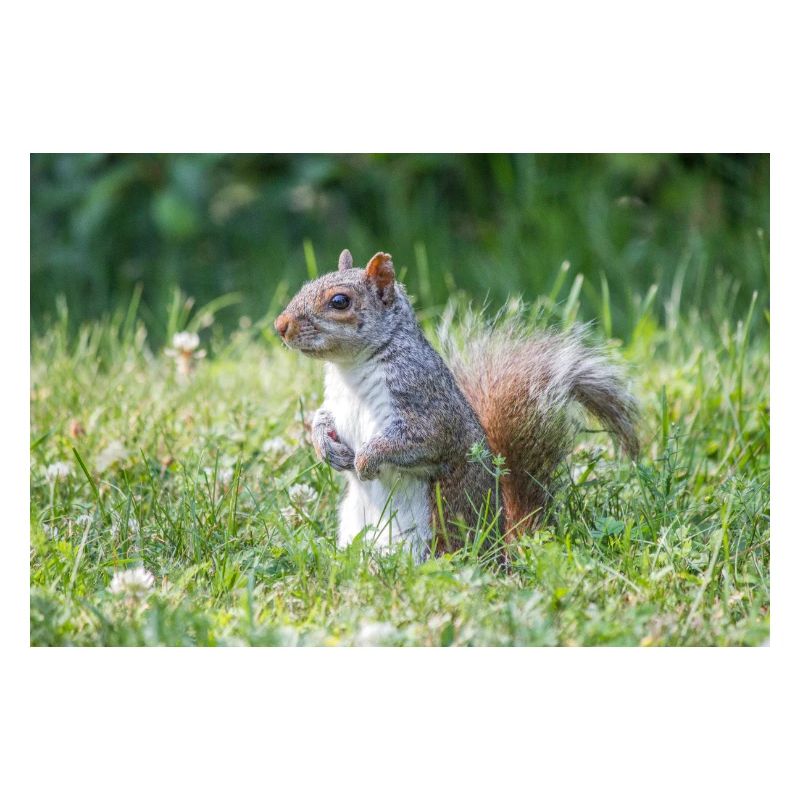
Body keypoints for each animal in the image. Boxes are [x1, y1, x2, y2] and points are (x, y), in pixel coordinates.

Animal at [275, 249, 639, 562]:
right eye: (306, 285)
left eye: (340, 301)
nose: (280, 325)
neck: (349, 369)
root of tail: (500, 550)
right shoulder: (335, 402)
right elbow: (322, 418)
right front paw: (325, 447)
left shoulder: (426, 403)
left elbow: (420, 440)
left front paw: (366, 459)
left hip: (428, 540)